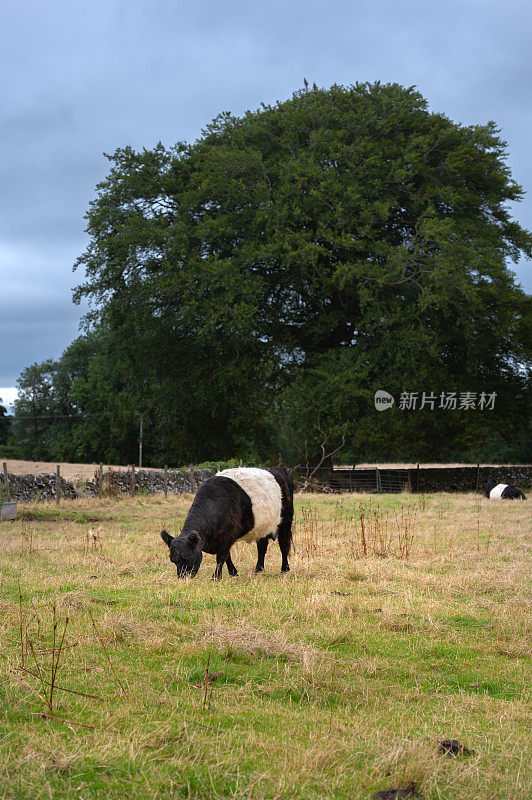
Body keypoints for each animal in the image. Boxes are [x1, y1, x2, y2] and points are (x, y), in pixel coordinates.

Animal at [162, 466, 296, 580]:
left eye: (186, 558)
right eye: (173, 560)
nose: (182, 578)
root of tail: (279, 469)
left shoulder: (226, 537)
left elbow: (221, 557)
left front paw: (216, 577)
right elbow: (227, 557)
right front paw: (233, 573)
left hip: (286, 521)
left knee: (284, 544)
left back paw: (285, 569)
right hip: (261, 527)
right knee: (262, 547)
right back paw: (258, 570)